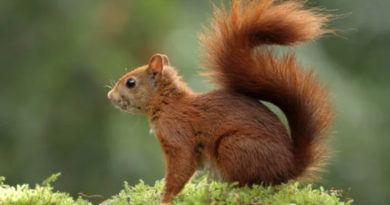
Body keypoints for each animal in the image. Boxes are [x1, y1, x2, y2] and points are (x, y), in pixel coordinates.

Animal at [108, 0, 334, 203]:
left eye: (130, 82)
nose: (110, 96)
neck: (169, 104)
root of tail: (289, 168)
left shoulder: (178, 135)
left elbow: (181, 168)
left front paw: (165, 198)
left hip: (235, 148)